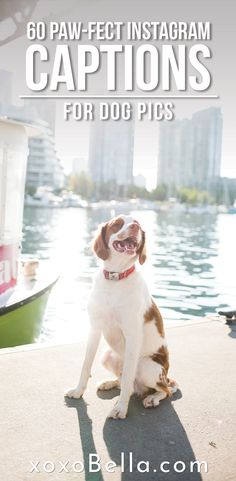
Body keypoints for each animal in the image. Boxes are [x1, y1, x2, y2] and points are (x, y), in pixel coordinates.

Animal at [65, 216, 178, 418]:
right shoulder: (94, 328)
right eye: (117, 223)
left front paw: (120, 408)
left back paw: (152, 398)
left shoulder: (133, 334)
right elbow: (86, 365)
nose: (135, 227)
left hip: (147, 366)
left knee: (165, 390)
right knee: (128, 381)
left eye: (138, 224)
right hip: (107, 355)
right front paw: (78, 391)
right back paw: (109, 382)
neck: (115, 277)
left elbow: (127, 380)